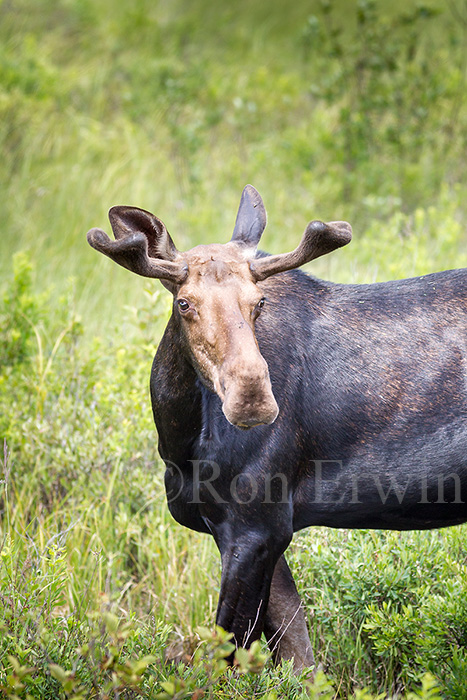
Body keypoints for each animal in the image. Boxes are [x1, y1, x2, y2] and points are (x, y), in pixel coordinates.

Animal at [87, 186, 467, 672]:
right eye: (184, 302)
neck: (179, 438)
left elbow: (227, 659)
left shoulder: (258, 526)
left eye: (259, 302)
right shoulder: (249, 533)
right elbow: (299, 656)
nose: (252, 394)